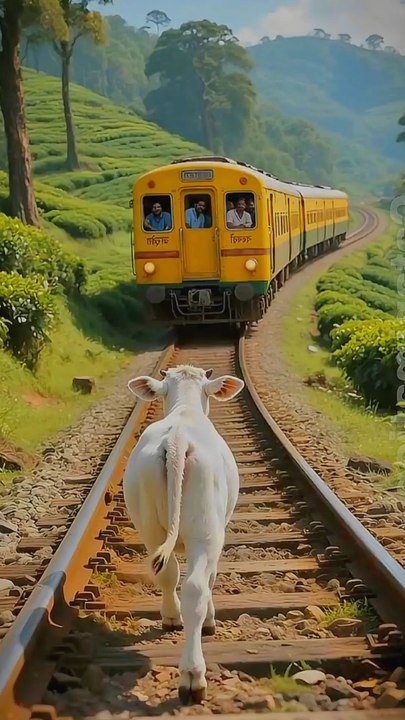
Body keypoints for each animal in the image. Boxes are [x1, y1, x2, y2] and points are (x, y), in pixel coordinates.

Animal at [123, 365, 245, 704]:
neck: (186, 409)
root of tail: (177, 439)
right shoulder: (216, 535)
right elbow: (211, 578)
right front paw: (212, 621)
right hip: (206, 531)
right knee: (195, 589)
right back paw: (192, 675)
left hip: (150, 525)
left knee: (167, 574)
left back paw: (171, 617)